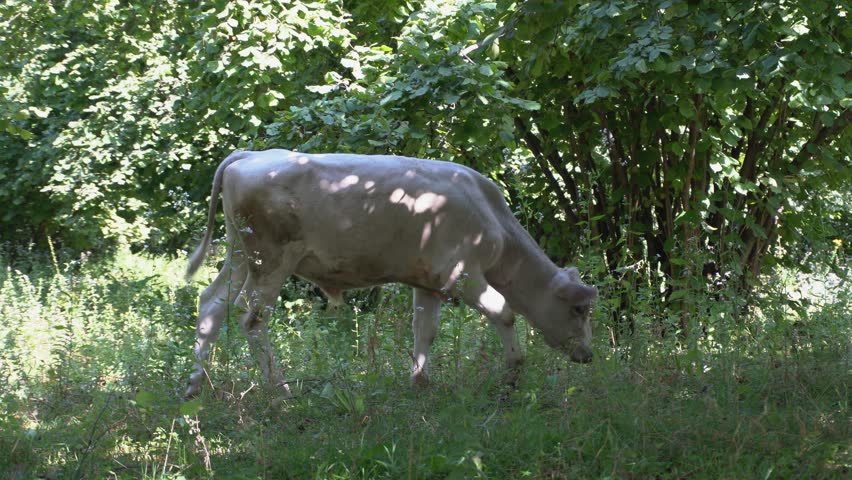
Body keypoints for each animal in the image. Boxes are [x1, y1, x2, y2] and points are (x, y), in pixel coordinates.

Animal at [184, 149, 598, 398]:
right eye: (579, 309)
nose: (589, 355)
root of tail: (251, 153)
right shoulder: (464, 276)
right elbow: (504, 311)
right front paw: (512, 372)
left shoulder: (429, 282)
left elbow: (425, 330)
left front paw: (420, 382)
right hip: (270, 259)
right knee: (251, 317)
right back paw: (280, 391)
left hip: (239, 253)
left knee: (213, 304)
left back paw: (194, 386)